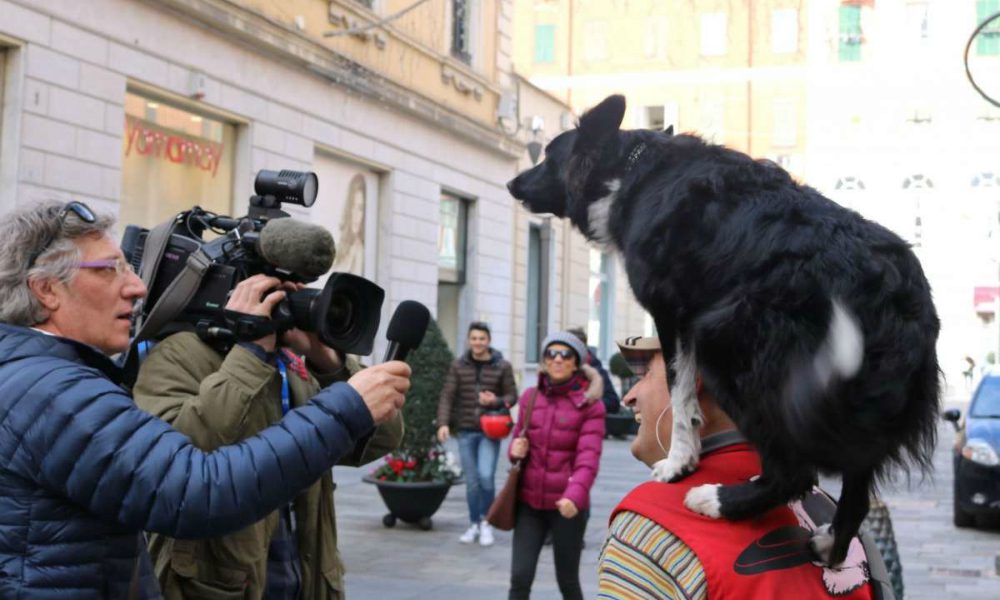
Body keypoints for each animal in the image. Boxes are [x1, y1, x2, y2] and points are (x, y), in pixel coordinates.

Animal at [504, 94, 940, 568]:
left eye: (549, 156)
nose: (512, 183)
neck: (631, 173)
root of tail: (896, 291)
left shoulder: (673, 313)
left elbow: (678, 392)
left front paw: (679, 462)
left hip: (728, 344)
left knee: (796, 473)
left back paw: (717, 501)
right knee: (856, 495)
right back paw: (829, 544)